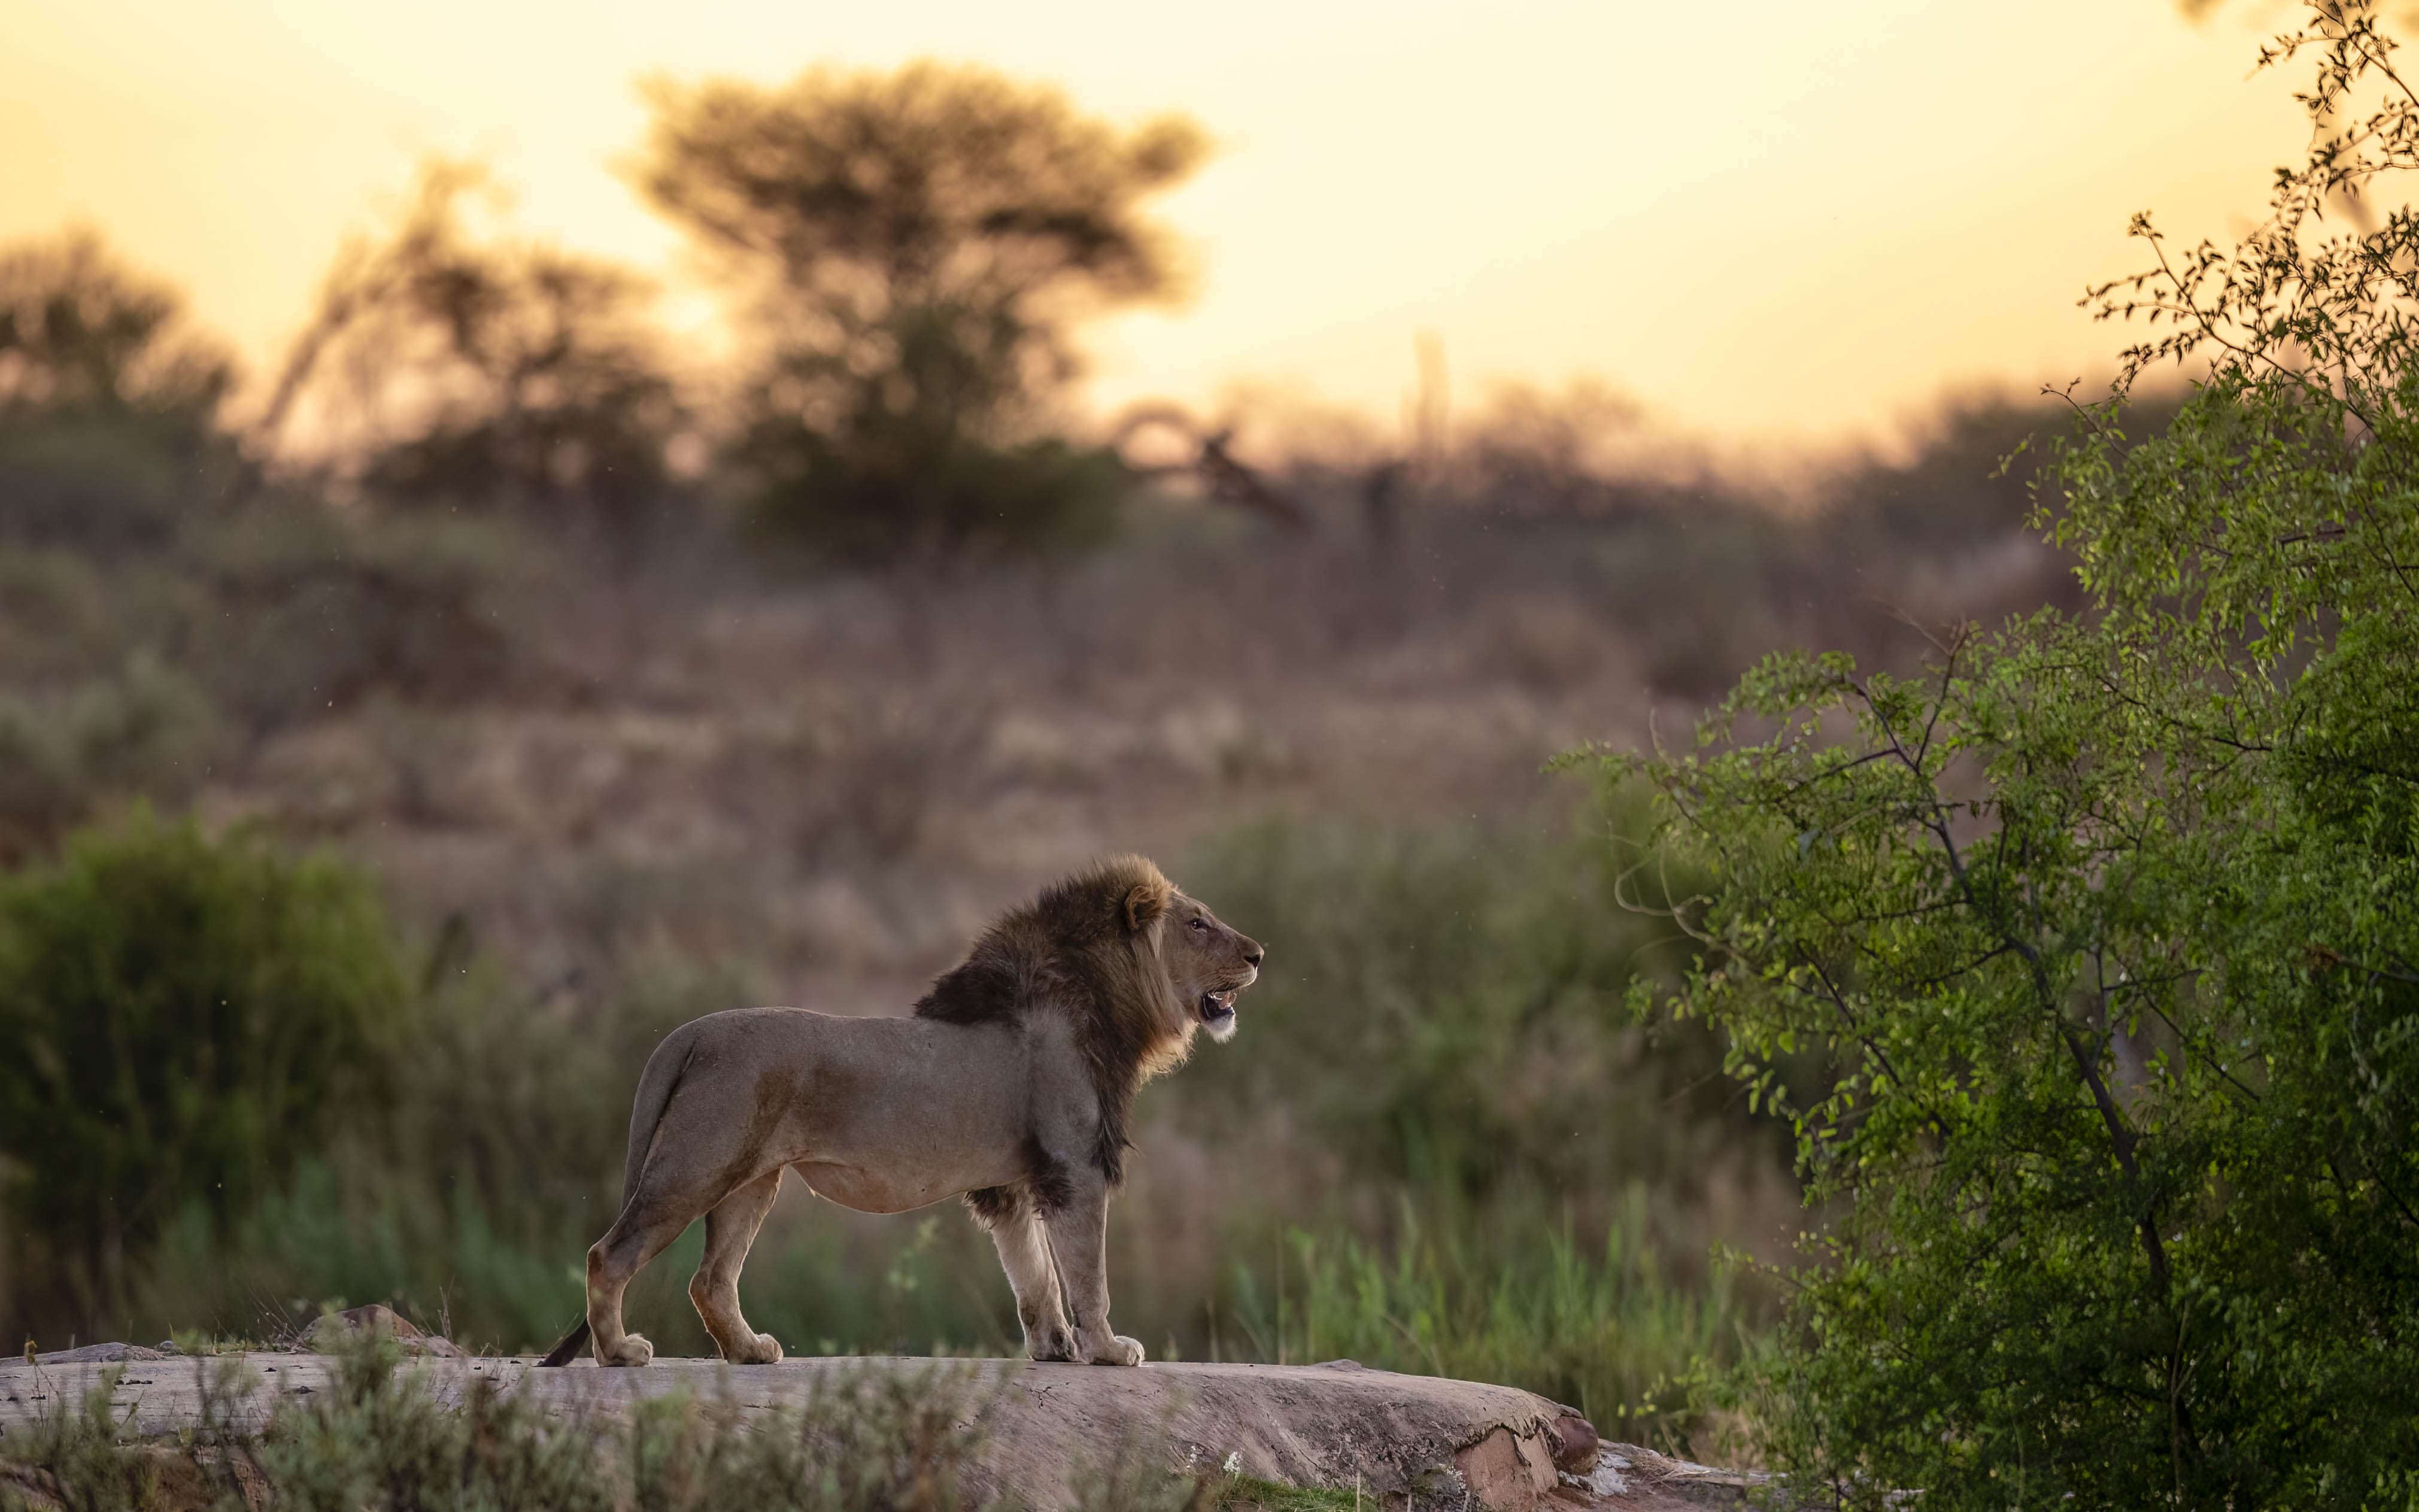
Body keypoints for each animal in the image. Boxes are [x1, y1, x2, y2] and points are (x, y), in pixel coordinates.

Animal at [537, 855, 1262, 1369]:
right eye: (1198, 923)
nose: (1258, 954)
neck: (1107, 1007)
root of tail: (690, 1033)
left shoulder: (1012, 1184)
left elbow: (1033, 1274)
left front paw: (1054, 1348)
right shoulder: (1073, 1166)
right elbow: (1086, 1275)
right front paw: (1109, 1349)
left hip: (751, 1180)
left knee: (710, 1279)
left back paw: (749, 1352)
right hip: (696, 1166)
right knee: (609, 1253)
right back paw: (618, 1352)